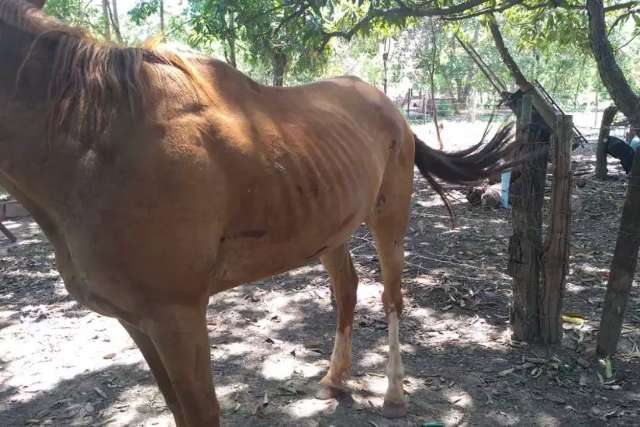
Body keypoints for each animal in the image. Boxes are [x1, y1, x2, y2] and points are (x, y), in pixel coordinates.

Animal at [0, 0, 510, 426]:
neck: (98, 143)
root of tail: (394, 110)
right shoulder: (137, 321)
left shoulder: (177, 317)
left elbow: (201, 414)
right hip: (332, 228)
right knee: (347, 290)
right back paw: (335, 378)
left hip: (391, 218)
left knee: (392, 299)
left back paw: (394, 394)